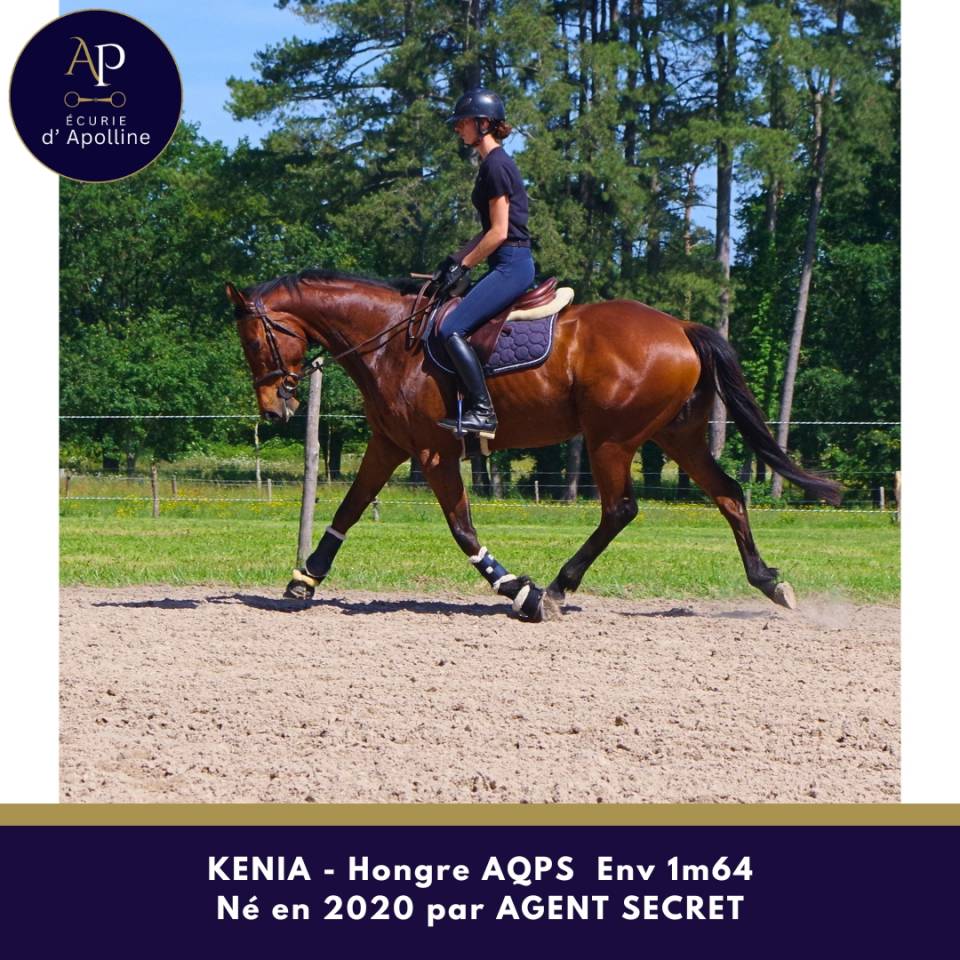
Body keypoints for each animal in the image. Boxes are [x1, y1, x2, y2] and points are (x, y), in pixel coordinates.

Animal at [225, 269, 841, 622]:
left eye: (255, 342)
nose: (274, 410)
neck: (391, 343)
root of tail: (680, 327)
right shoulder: (390, 444)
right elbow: (349, 510)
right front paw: (304, 579)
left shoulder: (434, 453)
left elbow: (462, 529)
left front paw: (517, 590)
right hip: (677, 437)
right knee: (730, 494)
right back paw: (769, 583)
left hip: (611, 439)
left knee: (620, 509)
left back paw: (557, 589)